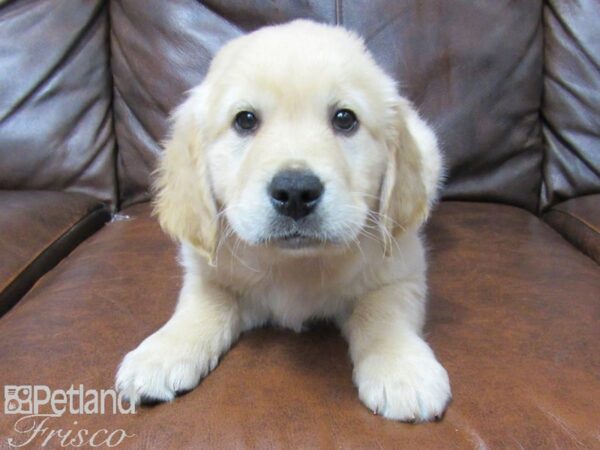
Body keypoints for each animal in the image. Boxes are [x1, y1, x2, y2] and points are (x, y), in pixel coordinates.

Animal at [116, 19, 450, 424]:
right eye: (245, 120)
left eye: (345, 118)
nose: (295, 192)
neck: (295, 263)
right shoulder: (207, 271)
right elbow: (201, 305)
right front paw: (162, 352)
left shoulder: (401, 269)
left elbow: (382, 310)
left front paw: (401, 368)